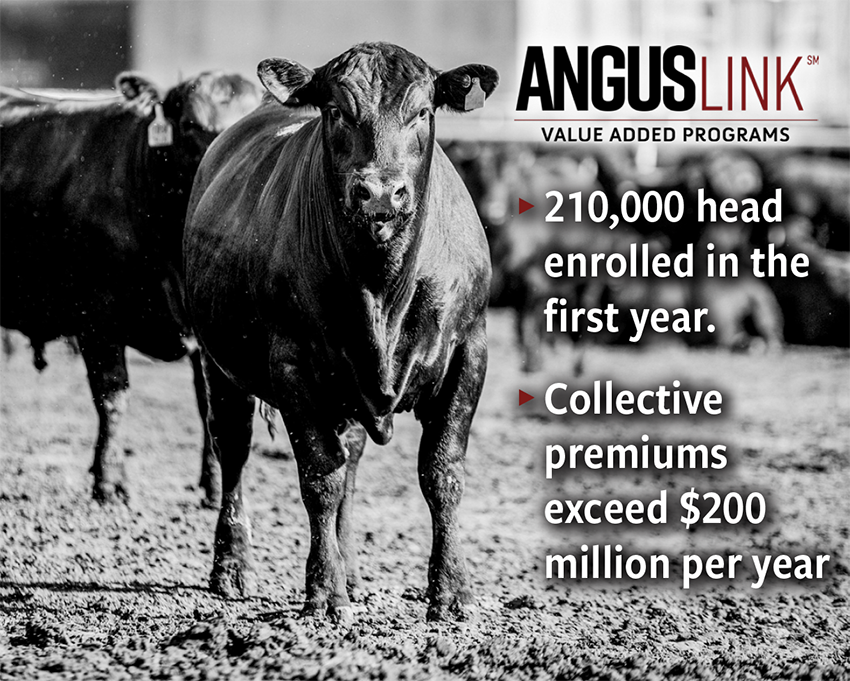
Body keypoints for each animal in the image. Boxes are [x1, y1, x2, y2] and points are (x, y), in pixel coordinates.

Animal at [0, 71, 258, 502]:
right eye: (189, 125)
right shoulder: (97, 318)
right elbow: (112, 397)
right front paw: (108, 480)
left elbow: (210, 404)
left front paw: (213, 484)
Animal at [182, 39, 494, 620]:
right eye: (335, 111)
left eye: (423, 112)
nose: (380, 194)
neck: (380, 288)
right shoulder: (292, 366)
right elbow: (319, 476)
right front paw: (324, 591)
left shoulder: (469, 350)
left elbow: (442, 472)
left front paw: (452, 591)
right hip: (221, 366)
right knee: (233, 449)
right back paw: (231, 566)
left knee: (351, 461)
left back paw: (351, 567)